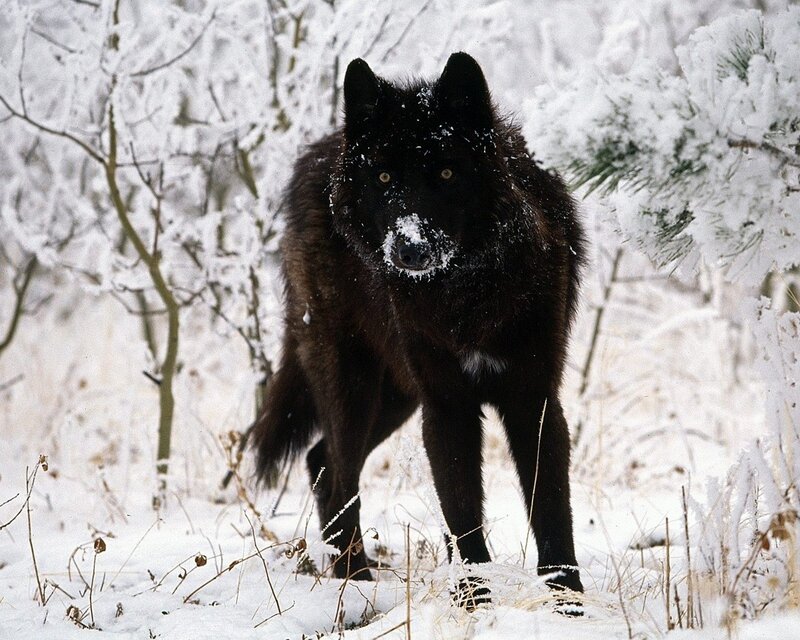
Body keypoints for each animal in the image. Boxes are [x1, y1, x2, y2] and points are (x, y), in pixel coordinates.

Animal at [252, 52, 585, 604]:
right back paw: (356, 583)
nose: (409, 249)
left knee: (321, 462)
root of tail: (319, 152)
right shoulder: (446, 405)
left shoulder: (533, 399)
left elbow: (552, 509)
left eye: (447, 172)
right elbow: (462, 513)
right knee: (337, 472)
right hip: (355, 387)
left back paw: (352, 578)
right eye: (385, 176)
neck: (466, 295)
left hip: (396, 397)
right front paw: (474, 600)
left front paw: (568, 602)